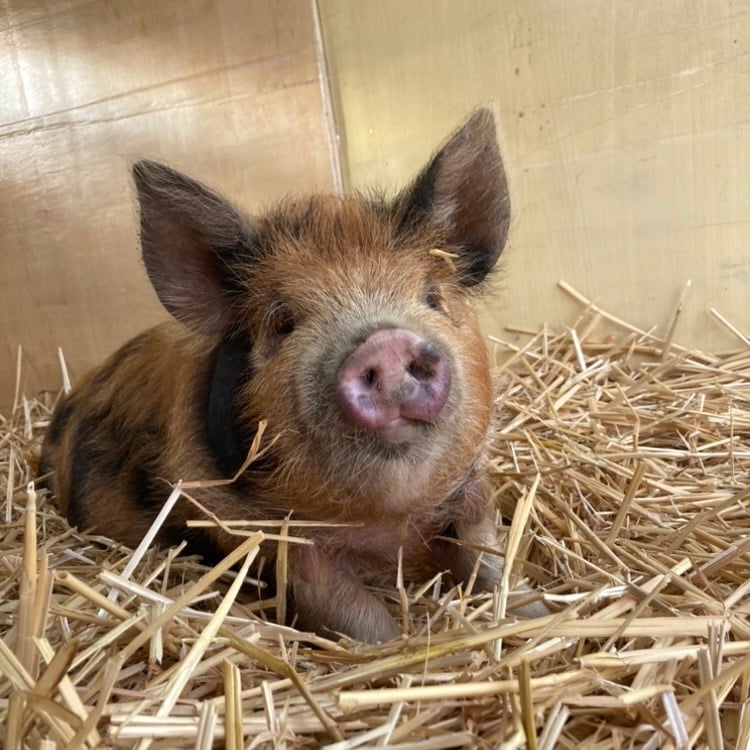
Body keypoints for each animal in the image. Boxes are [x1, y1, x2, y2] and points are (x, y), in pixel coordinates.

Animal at [41, 108, 536, 644]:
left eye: (433, 297)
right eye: (283, 323)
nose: (385, 343)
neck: (389, 525)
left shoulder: (472, 493)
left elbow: (494, 564)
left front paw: (532, 611)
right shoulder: (262, 533)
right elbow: (351, 614)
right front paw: (392, 645)